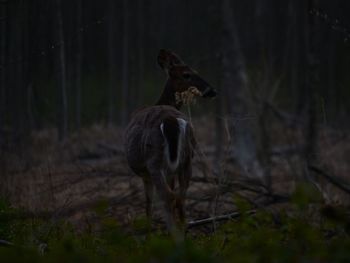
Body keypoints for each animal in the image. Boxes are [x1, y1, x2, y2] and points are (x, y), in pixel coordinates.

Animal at [123, 49, 216, 233]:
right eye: (187, 74)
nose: (211, 91)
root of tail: (170, 120)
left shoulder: (146, 173)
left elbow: (148, 204)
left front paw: (148, 232)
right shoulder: (171, 171)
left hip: (154, 161)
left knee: (168, 197)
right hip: (187, 158)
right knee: (180, 197)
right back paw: (183, 230)